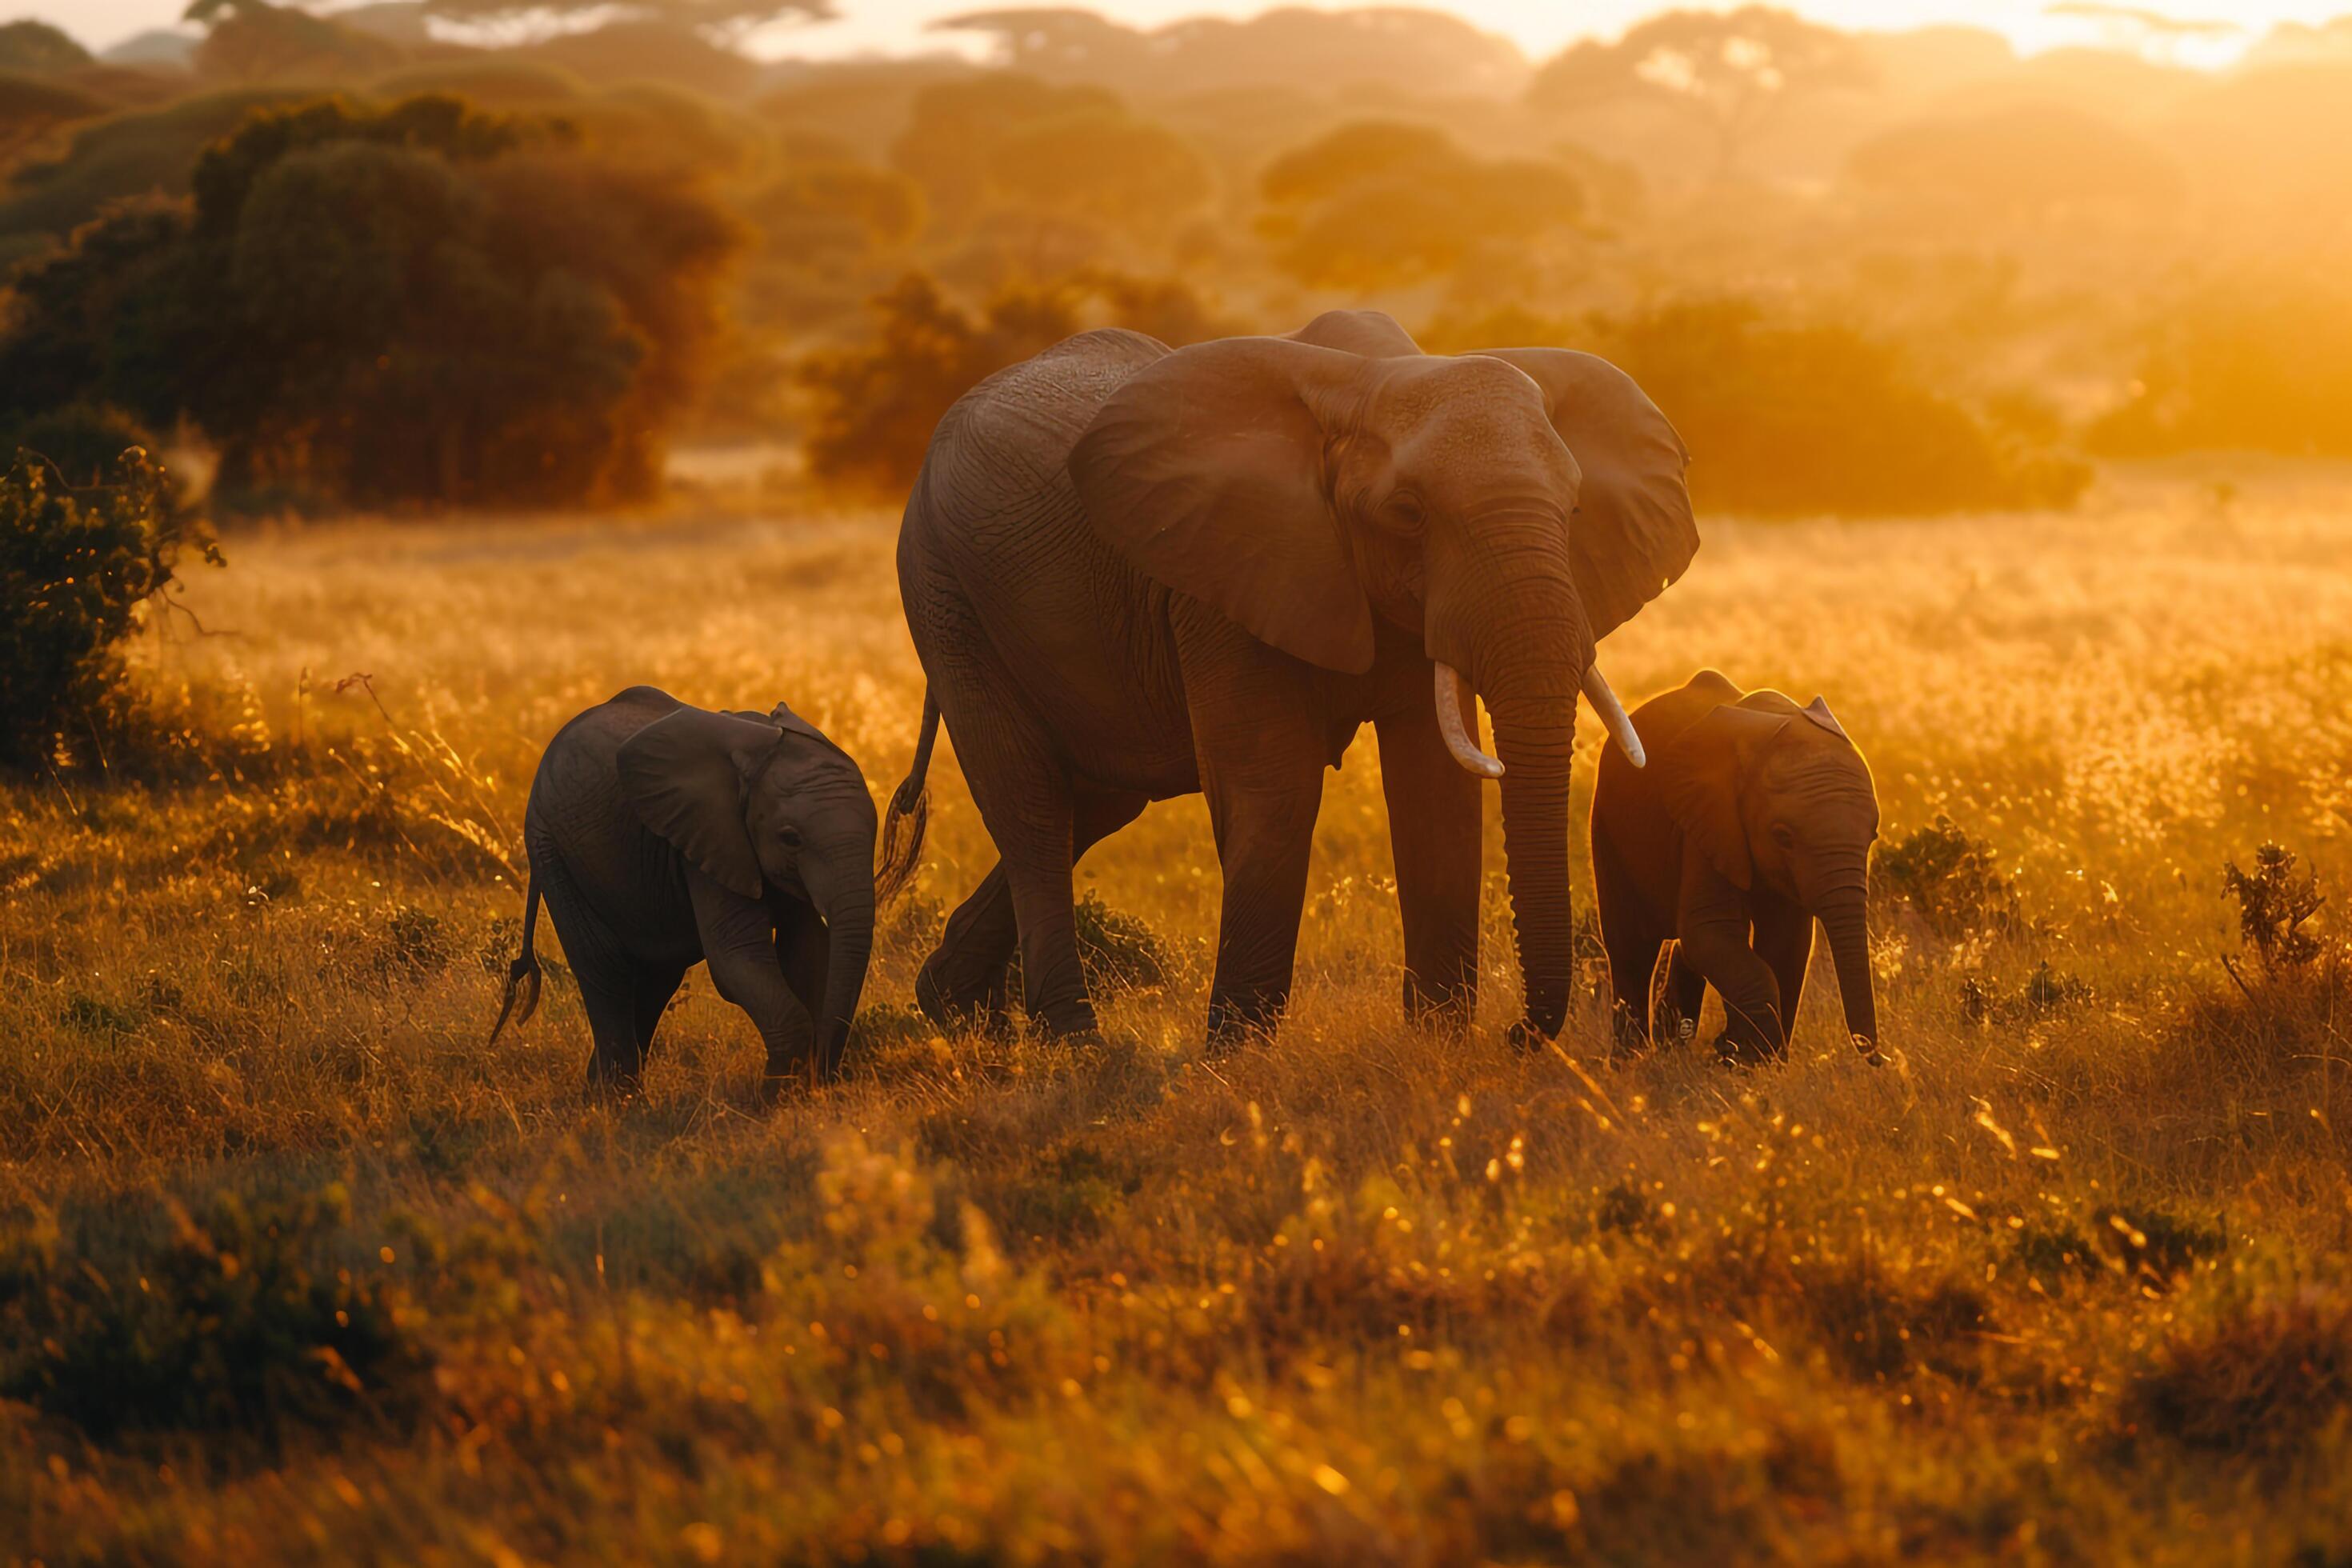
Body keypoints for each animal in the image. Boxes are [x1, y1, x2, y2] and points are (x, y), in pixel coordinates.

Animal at [491, 682, 912, 1100]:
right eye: (790, 839)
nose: (827, 1078)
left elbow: (808, 949)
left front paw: (795, 1091)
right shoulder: (707, 838)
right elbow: (735, 956)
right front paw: (774, 1096)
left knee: (656, 977)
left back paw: (606, 1088)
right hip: (551, 848)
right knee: (604, 967)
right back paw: (616, 1100)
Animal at [884, 310, 1693, 1048]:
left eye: (1575, 508)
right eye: (1408, 513)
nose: (1518, 1035)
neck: (1373, 380)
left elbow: (1437, 787)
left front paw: (1435, 1047)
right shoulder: (1223, 573)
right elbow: (1274, 789)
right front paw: (1235, 1060)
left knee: (1098, 800)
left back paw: (958, 1011)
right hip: (943, 588)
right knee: (1032, 805)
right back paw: (1075, 1044)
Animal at [1590, 667, 1882, 1062]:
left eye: (1873, 836)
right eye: (1783, 836)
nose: (1880, 1059)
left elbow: (1786, 942)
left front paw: (1754, 1059)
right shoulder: (1709, 819)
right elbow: (1710, 930)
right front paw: (1743, 1056)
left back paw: (1671, 1046)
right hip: (1608, 824)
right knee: (1631, 946)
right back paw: (1629, 1060)